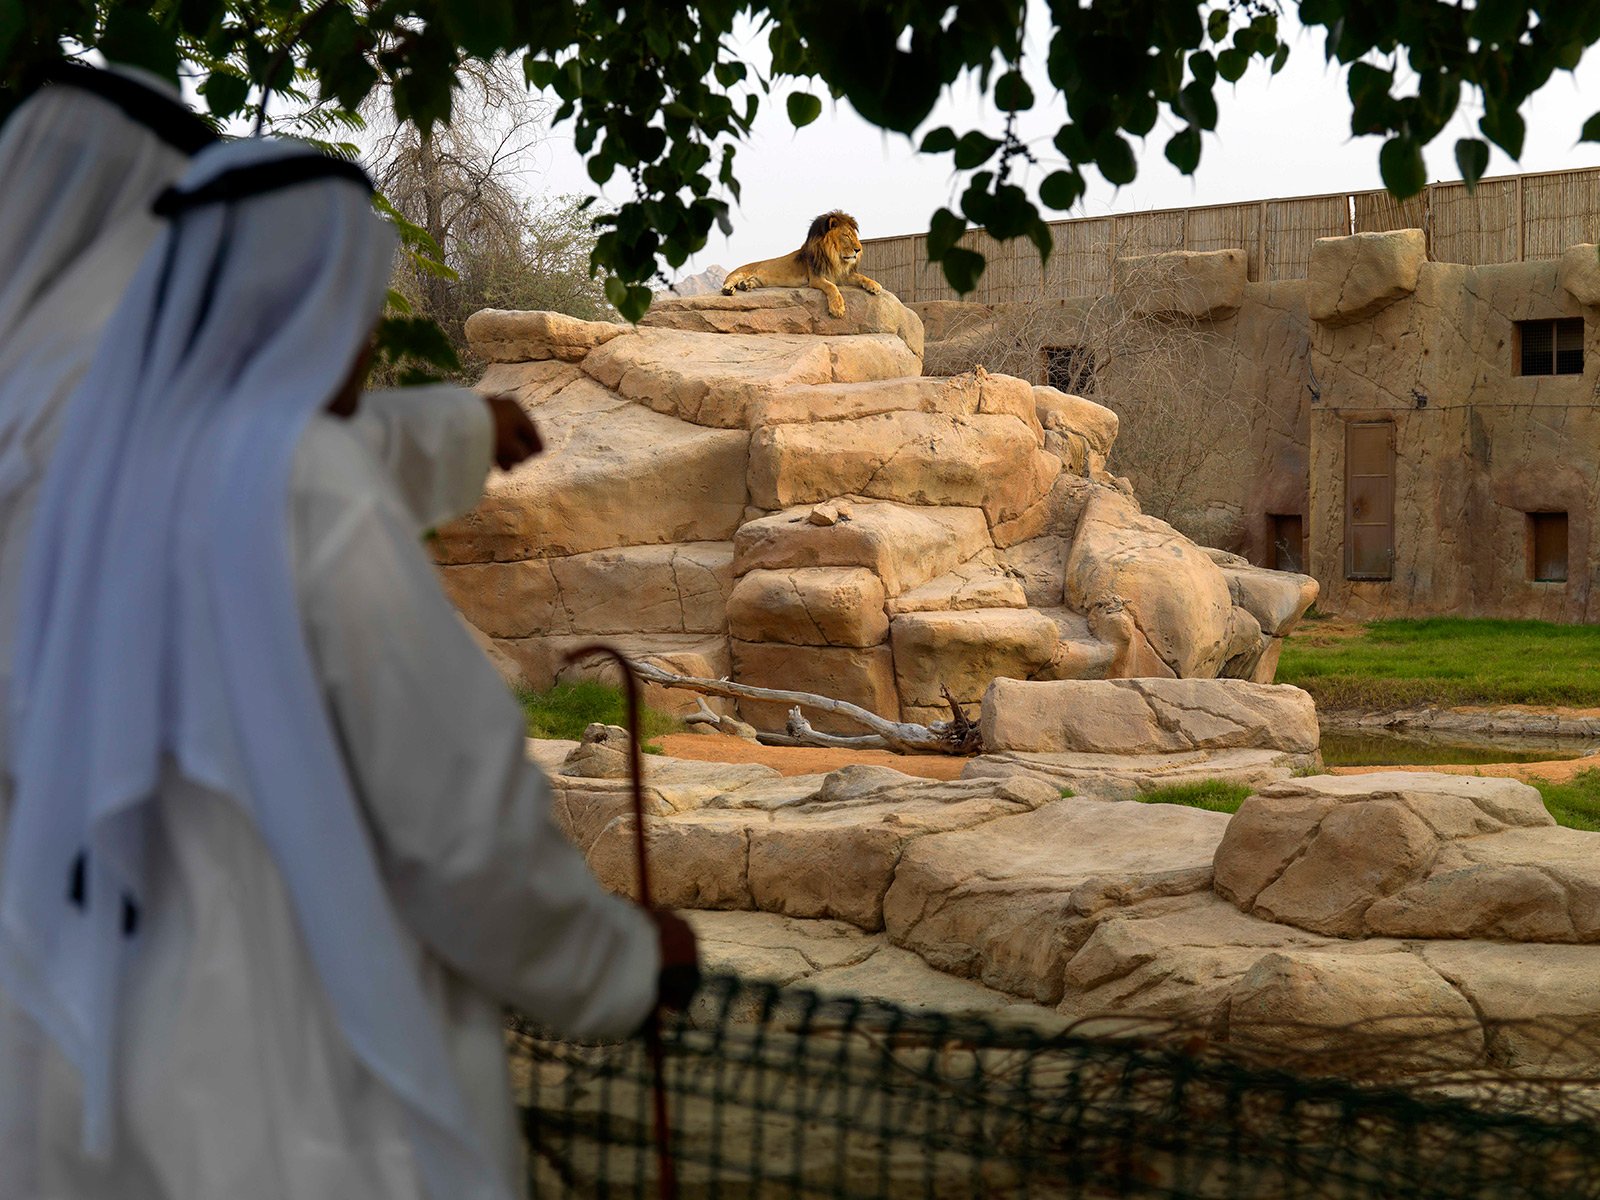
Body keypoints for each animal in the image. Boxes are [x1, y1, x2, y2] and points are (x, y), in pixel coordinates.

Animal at [726, 211, 889, 316]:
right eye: (846, 235)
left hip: (756, 281)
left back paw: (745, 285)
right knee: (729, 282)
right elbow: (832, 287)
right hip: (739, 273)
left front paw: (874, 285)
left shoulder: (840, 275)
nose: (858, 249)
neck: (834, 257)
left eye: (854, 236)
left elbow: (860, 276)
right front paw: (837, 308)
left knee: (745, 283)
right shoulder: (816, 278)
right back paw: (728, 290)